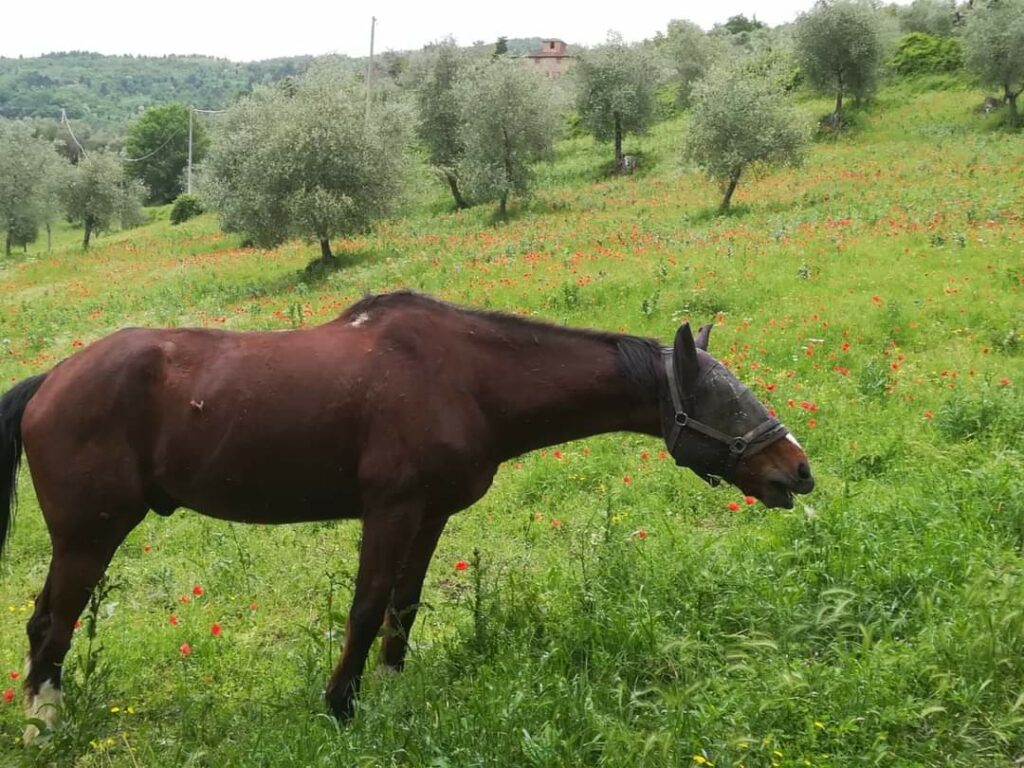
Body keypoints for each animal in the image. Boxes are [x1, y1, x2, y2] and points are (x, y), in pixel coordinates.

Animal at [0, 290, 815, 741]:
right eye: (722, 403)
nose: (797, 470)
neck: (464, 377)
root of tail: (51, 380)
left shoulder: (430, 516)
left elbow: (404, 605)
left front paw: (390, 692)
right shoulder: (389, 511)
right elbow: (365, 609)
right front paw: (340, 705)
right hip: (90, 533)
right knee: (52, 624)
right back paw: (43, 724)